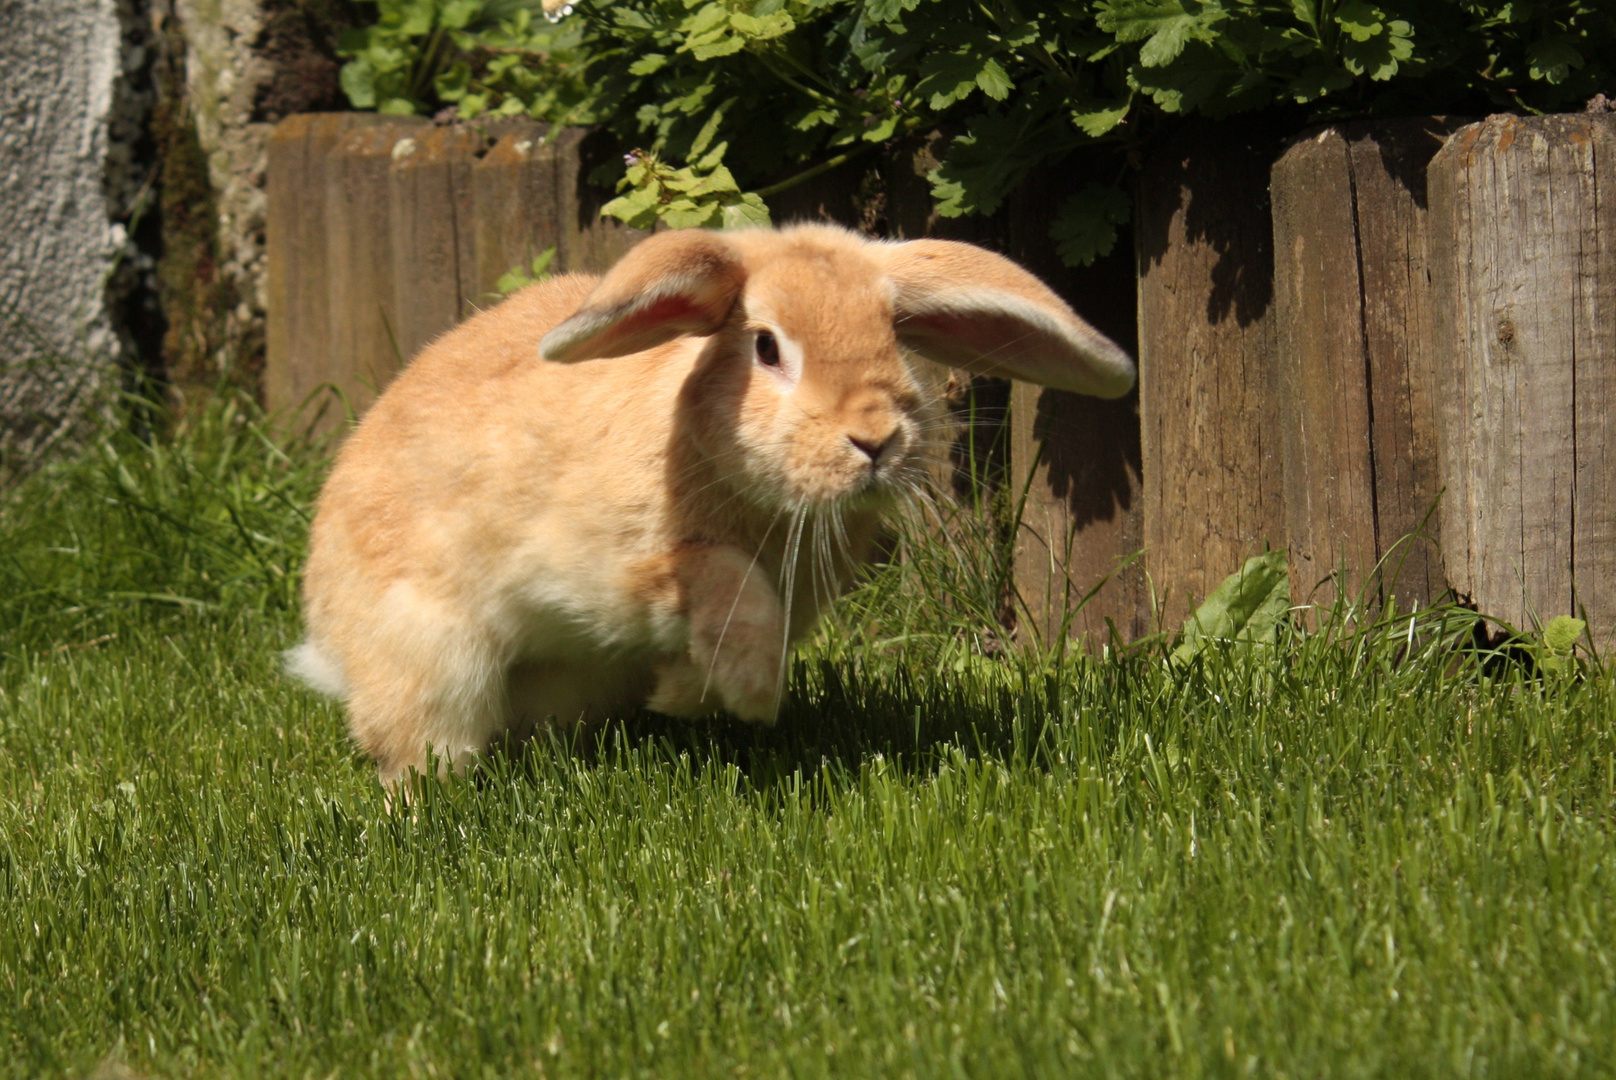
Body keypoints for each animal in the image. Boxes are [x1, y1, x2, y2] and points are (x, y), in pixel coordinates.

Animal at [284, 226, 1131, 785]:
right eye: (767, 346)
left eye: (892, 336)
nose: (875, 439)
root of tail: (326, 637)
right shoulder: (618, 572)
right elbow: (726, 586)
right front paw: (752, 697)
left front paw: (688, 699)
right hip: (433, 656)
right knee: (421, 739)